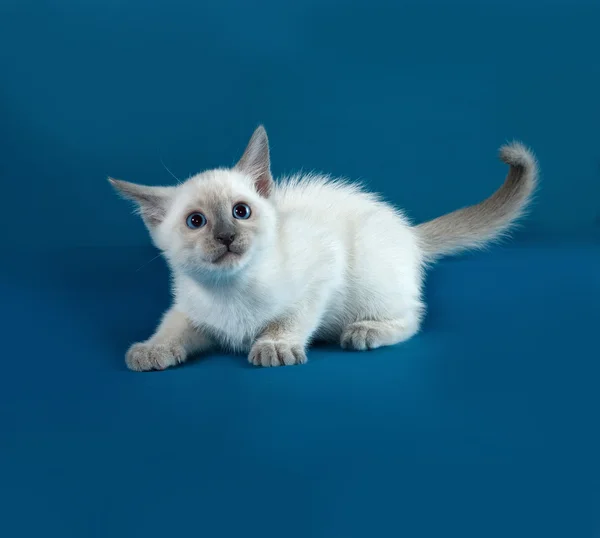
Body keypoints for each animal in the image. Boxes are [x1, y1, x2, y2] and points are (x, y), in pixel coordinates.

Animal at [110, 125, 536, 368]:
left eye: (240, 211)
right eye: (196, 221)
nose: (227, 237)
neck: (232, 290)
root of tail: (410, 232)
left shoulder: (322, 266)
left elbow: (293, 316)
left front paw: (274, 345)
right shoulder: (190, 309)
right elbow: (172, 327)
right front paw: (150, 350)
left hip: (368, 273)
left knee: (413, 316)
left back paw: (365, 330)